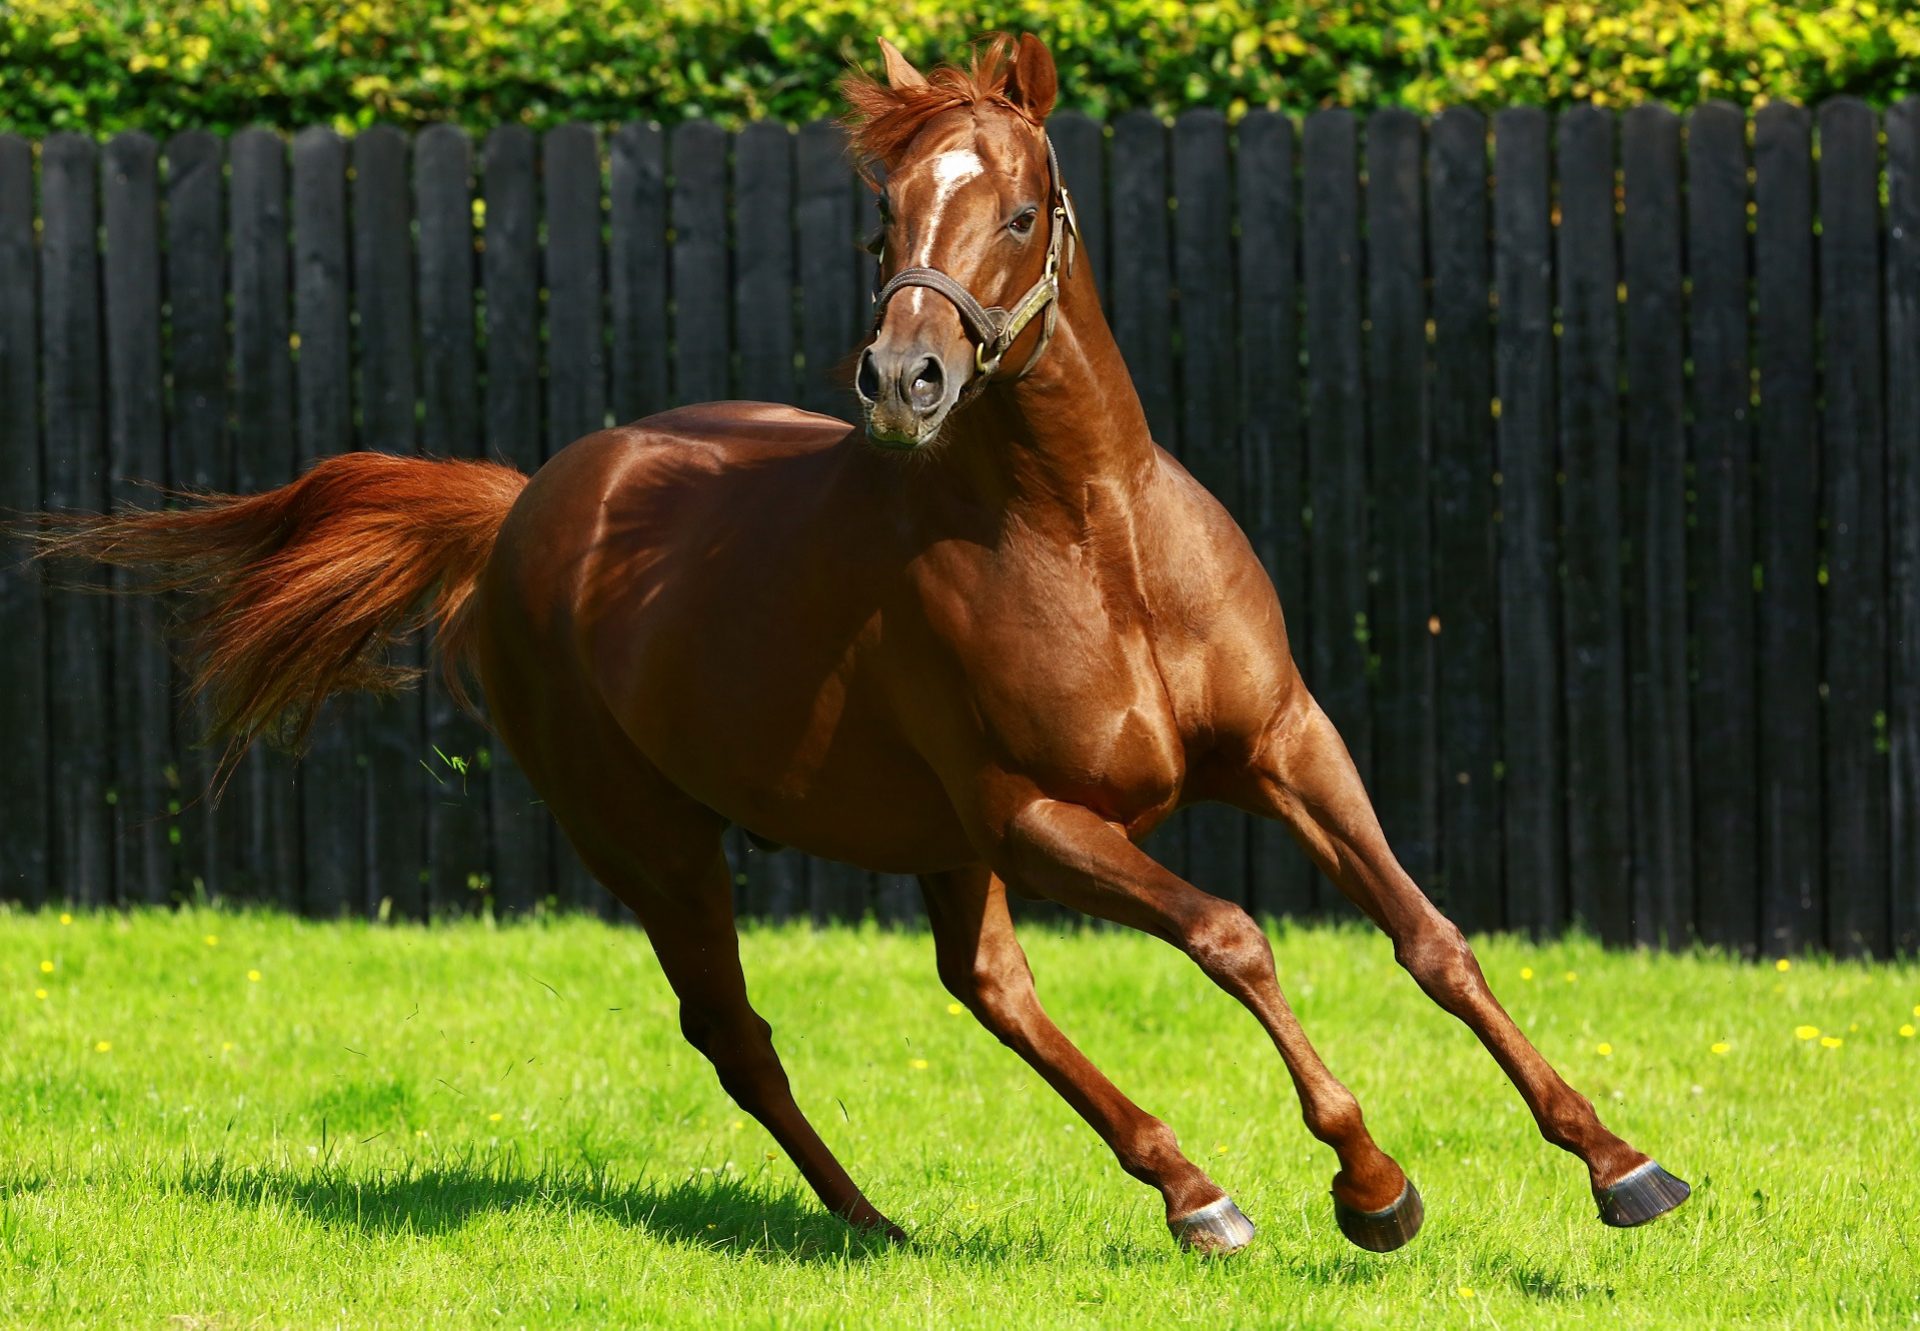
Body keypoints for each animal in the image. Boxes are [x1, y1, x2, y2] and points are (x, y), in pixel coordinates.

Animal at [52, 36, 1689, 1252]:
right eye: (884, 218)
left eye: (1019, 210)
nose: (904, 377)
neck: (1091, 533)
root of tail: (523, 508)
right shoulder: (1039, 815)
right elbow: (1235, 932)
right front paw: (1372, 1181)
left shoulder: (1286, 745)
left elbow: (1429, 935)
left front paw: (1621, 1163)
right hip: (661, 844)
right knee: (741, 1032)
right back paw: (880, 1219)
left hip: (923, 839)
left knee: (986, 988)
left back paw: (1186, 1189)